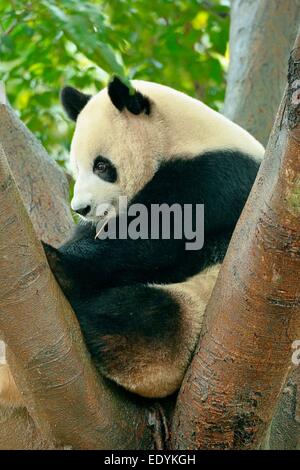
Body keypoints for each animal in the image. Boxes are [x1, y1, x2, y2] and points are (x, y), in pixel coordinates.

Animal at [0, 77, 264, 404]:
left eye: (101, 166)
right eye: (77, 169)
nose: (81, 209)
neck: (178, 136)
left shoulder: (212, 176)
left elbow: (152, 237)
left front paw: (60, 261)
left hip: (188, 310)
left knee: (144, 316)